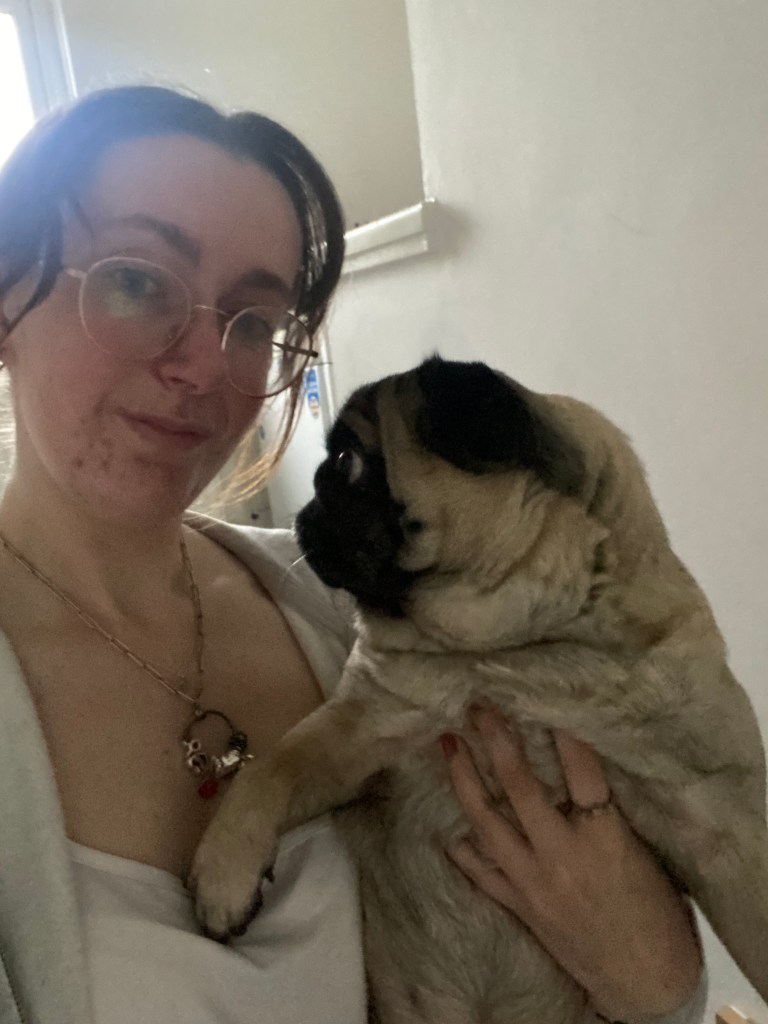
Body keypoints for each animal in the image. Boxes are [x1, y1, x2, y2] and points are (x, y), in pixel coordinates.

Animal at [189, 356, 768, 1021]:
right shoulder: (360, 732)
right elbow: (271, 769)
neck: (516, 648)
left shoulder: (714, 816)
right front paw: (224, 875)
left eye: (346, 462)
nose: (307, 506)